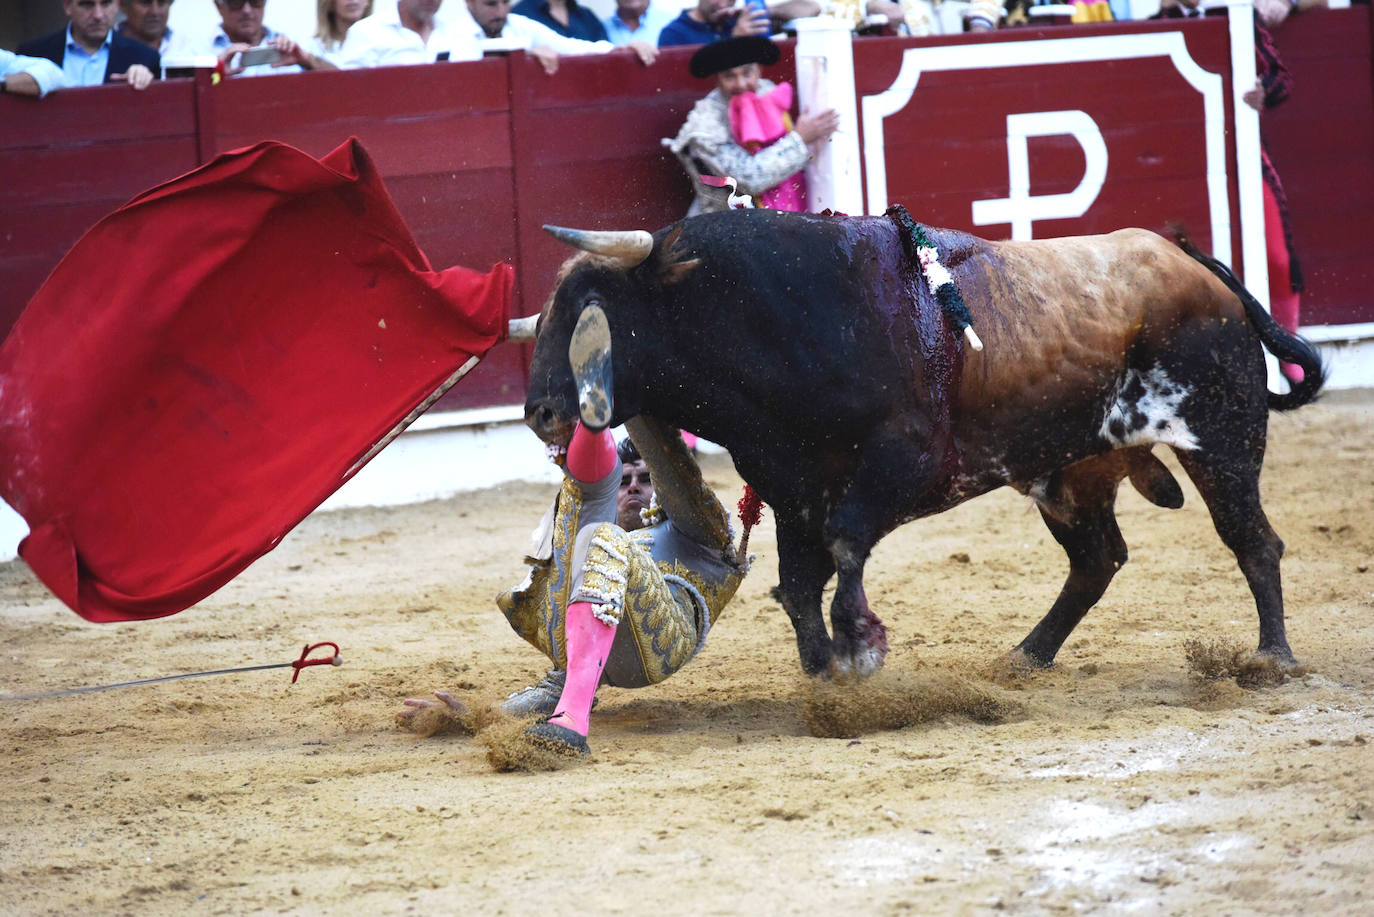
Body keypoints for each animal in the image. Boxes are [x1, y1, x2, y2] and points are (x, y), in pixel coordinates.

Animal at [519, 210, 1324, 681]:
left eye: (592, 307)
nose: (542, 411)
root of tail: (1195, 266)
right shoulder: (790, 485)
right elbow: (798, 580)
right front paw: (823, 669)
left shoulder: (899, 463)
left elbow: (845, 546)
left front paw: (860, 644)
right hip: (1070, 471)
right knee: (1098, 559)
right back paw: (1026, 656)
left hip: (1221, 438)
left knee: (1253, 540)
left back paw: (1274, 657)